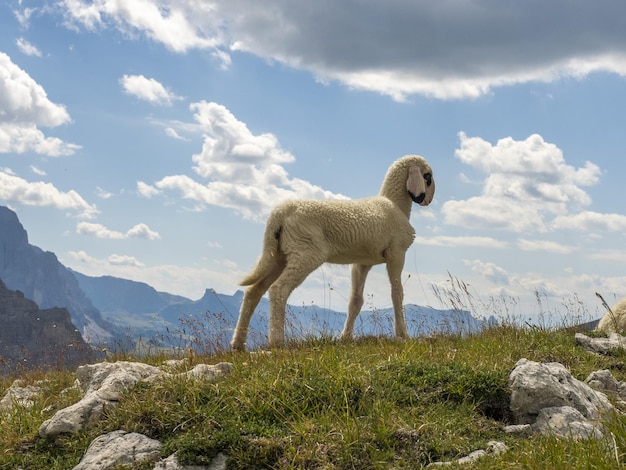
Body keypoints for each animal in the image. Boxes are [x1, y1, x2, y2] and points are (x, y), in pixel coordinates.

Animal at [230, 156, 434, 350]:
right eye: (428, 177)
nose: (428, 200)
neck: (395, 204)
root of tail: (280, 213)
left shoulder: (362, 262)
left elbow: (355, 300)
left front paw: (346, 337)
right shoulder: (396, 253)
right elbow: (397, 293)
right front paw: (403, 335)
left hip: (277, 255)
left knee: (253, 291)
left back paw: (238, 343)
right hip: (305, 253)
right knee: (279, 289)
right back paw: (277, 341)